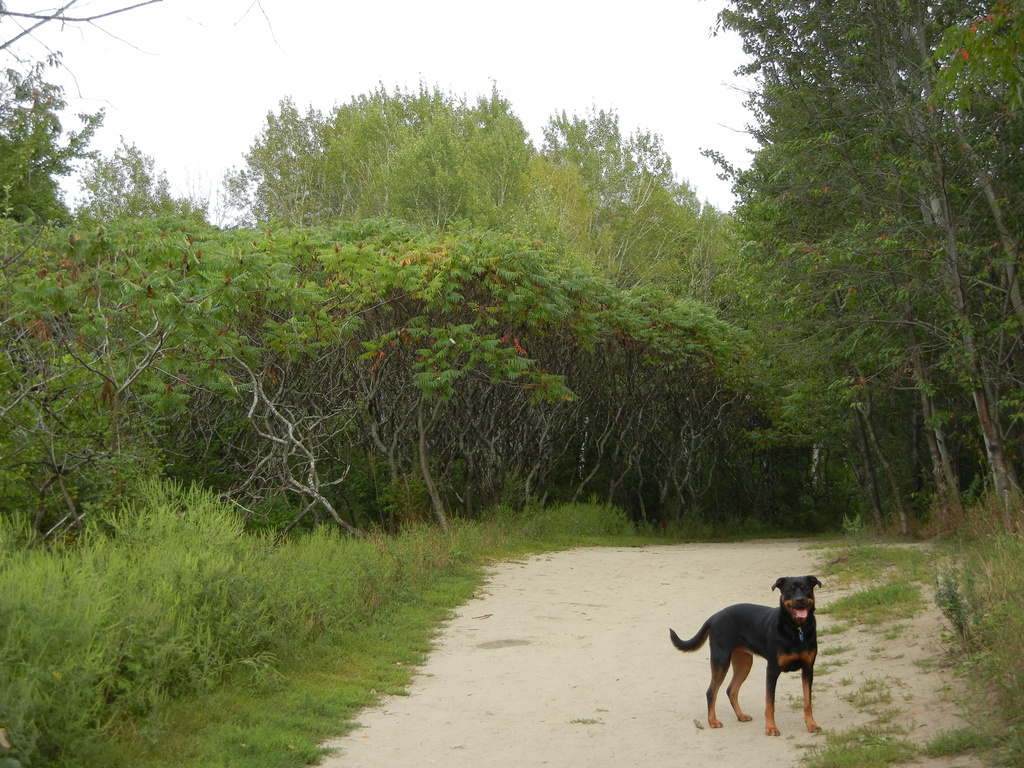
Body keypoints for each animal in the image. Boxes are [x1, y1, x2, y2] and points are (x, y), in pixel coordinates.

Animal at [671, 577, 823, 741]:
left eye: (806, 588)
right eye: (790, 590)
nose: (800, 600)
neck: (796, 629)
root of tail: (715, 616)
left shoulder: (808, 669)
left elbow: (807, 702)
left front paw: (812, 724)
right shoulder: (772, 670)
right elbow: (769, 704)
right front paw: (771, 728)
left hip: (744, 663)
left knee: (731, 690)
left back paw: (741, 715)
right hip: (721, 661)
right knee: (711, 692)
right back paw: (712, 721)